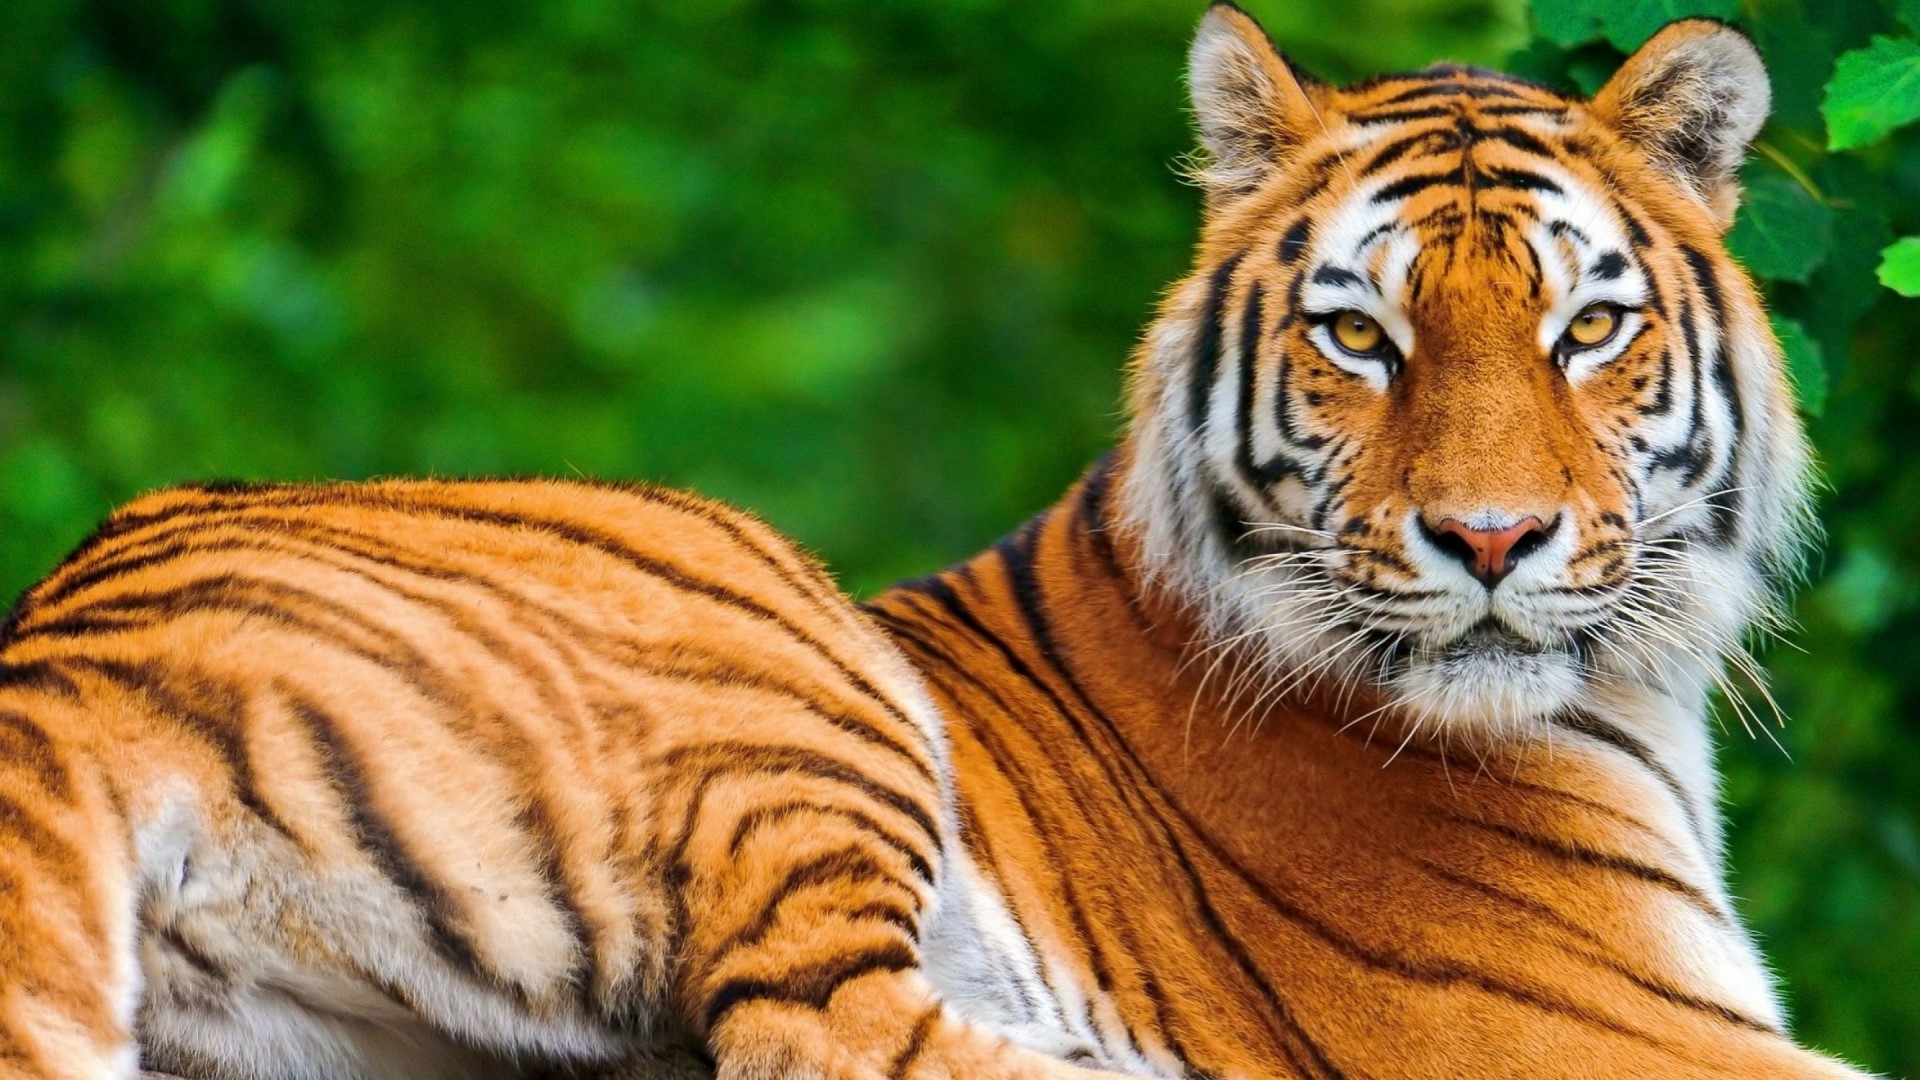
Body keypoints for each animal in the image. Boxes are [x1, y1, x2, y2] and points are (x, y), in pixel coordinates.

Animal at [0, 5, 1882, 1080]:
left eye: (1585, 329)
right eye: (1362, 337)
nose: (1491, 540)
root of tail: (67, 649)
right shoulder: (1616, 1034)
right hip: (782, 651)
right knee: (817, 1030)